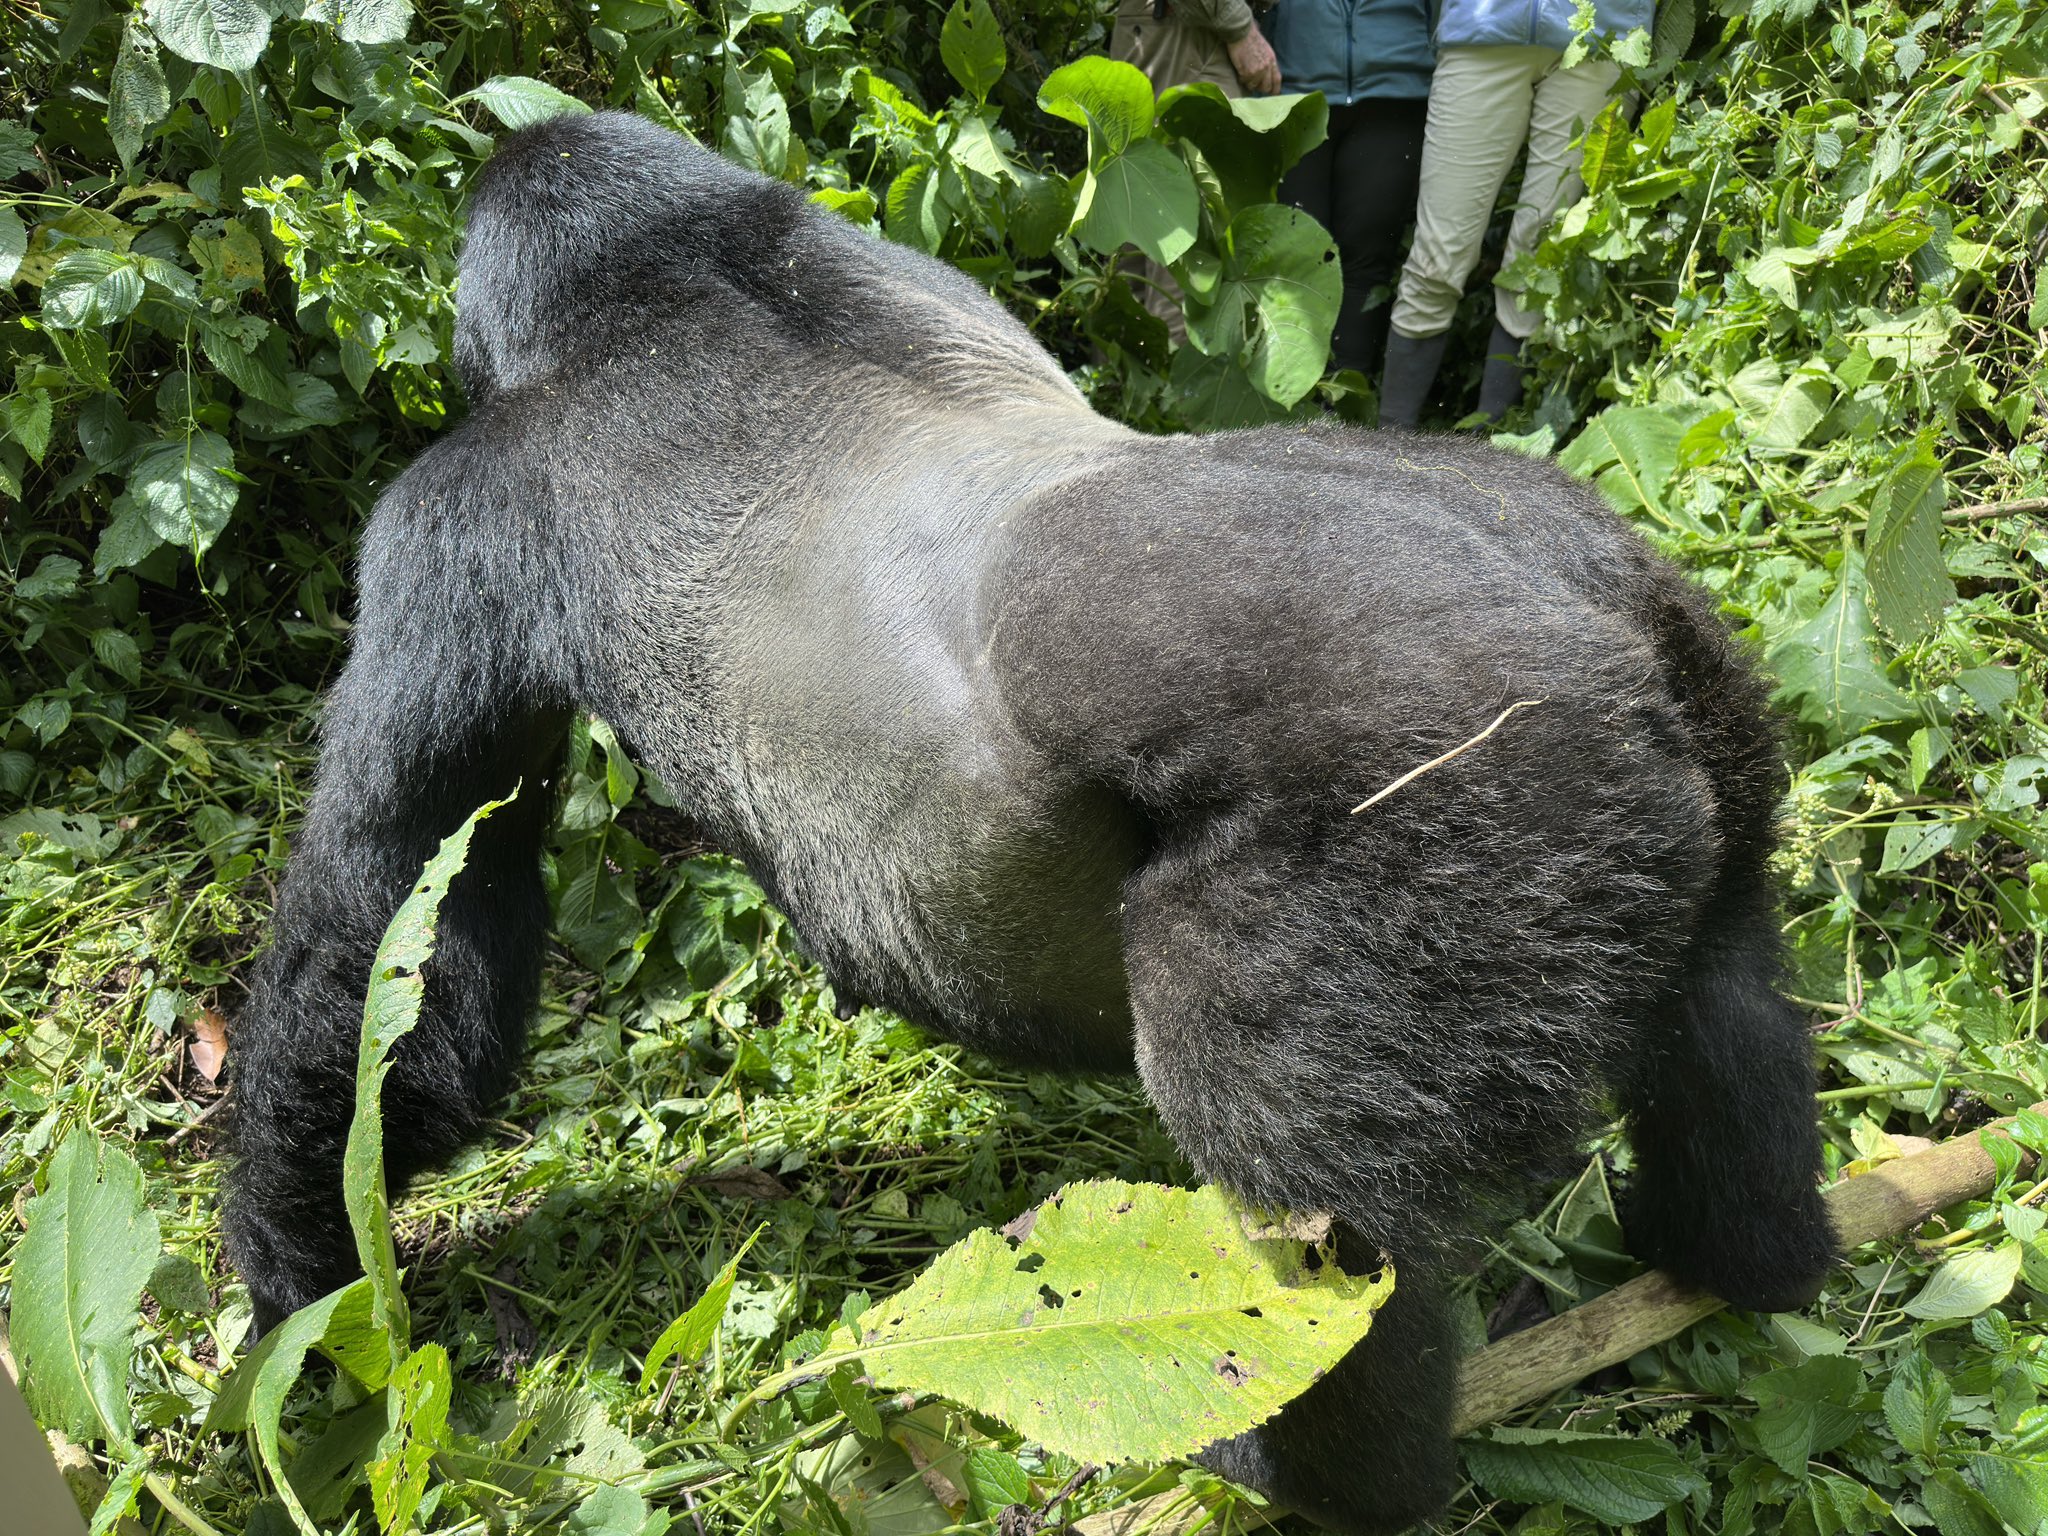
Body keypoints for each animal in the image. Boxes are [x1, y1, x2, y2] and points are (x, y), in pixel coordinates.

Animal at [223, 109, 1837, 1534]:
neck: (670, 272)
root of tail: (1592, 615)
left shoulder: (450, 519)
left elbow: (394, 932)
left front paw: (297, 1291)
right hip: (1694, 697)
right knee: (1724, 990)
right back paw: (1740, 1250)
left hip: (1448, 802)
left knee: (1303, 1199)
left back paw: (1317, 1478)